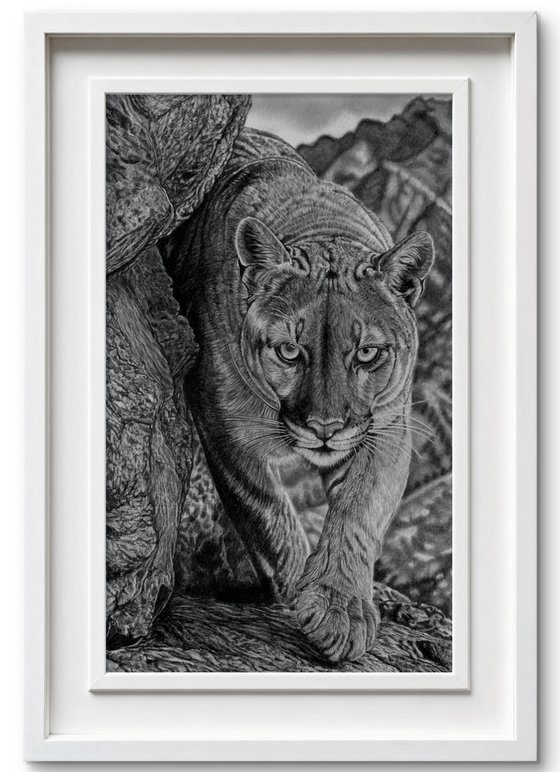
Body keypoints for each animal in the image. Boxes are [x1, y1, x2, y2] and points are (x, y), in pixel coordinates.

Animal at [172, 129, 435, 663]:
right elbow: (267, 514)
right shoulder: (224, 424)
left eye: (368, 353)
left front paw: (341, 605)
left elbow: (358, 509)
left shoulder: (387, 428)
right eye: (290, 350)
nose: (325, 429)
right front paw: (304, 594)